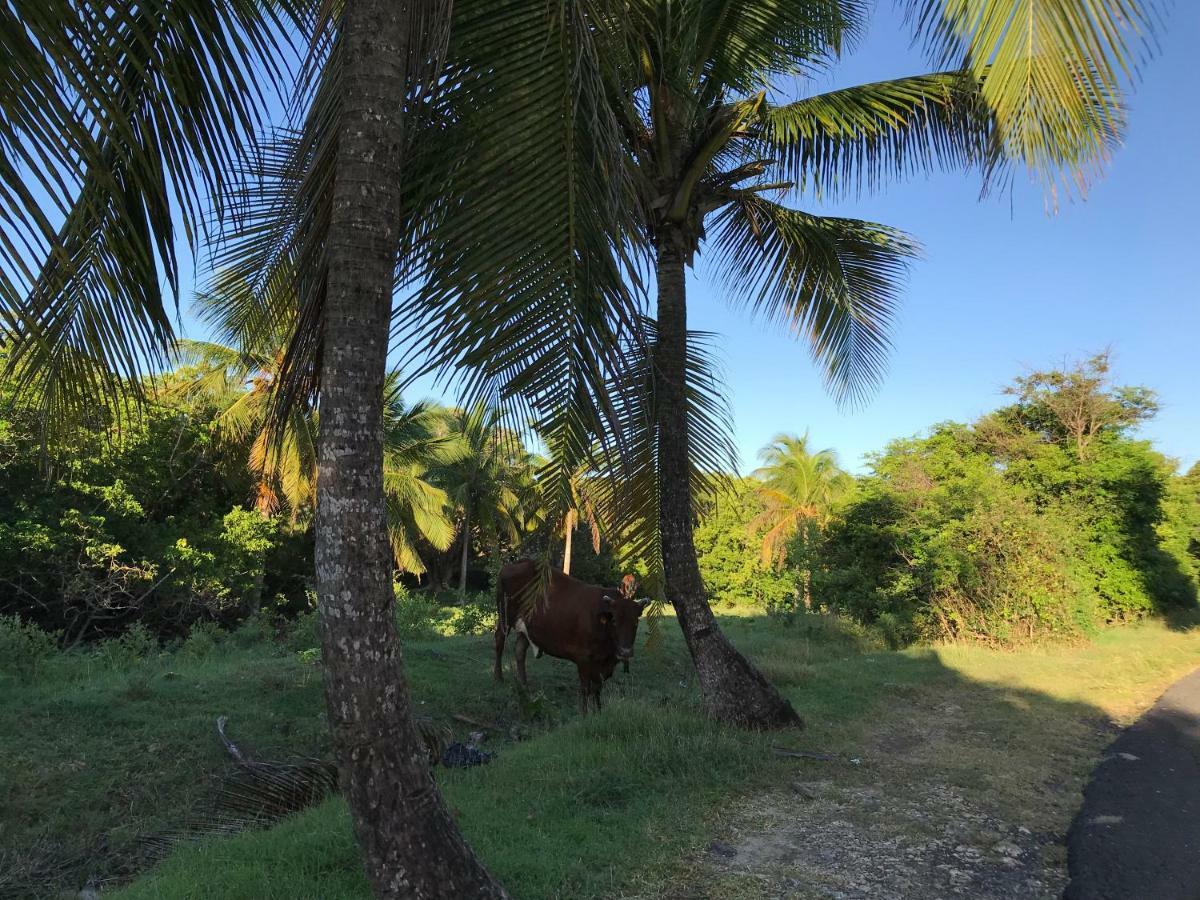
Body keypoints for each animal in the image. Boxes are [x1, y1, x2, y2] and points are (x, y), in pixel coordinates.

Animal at [492, 561, 648, 715]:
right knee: (499, 639)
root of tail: (512, 565)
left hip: (526, 626)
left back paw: (524, 686)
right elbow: (585, 689)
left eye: (636, 622)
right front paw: (585, 714)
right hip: (505, 616)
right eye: (614, 621)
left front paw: (598, 712)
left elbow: (597, 689)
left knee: (519, 650)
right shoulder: (583, 659)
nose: (625, 651)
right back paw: (498, 677)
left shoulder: (602, 665)